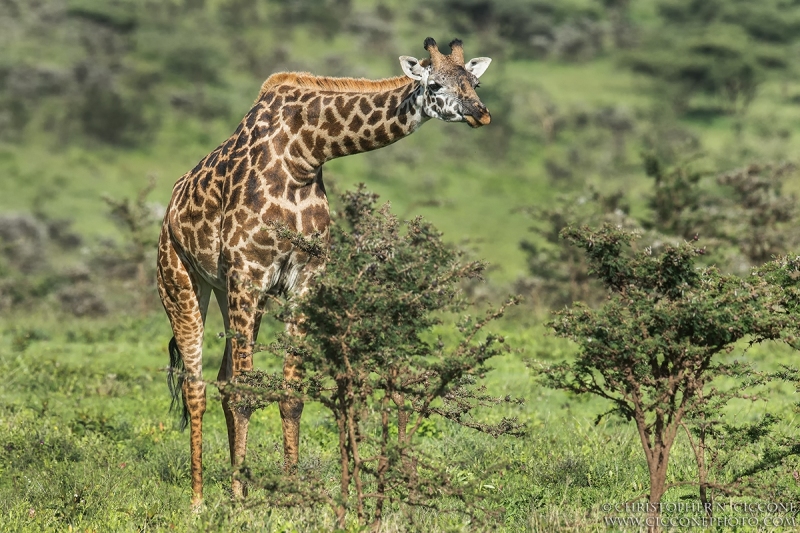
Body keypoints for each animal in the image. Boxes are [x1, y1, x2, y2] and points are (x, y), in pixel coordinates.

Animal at [156, 36, 490, 502]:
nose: (481, 112)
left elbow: (291, 392)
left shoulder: (303, 280)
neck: (306, 152)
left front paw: (292, 492)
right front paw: (239, 499)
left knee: (222, 378)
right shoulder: (248, 273)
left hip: (228, 291)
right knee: (196, 384)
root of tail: (170, 206)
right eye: (436, 84)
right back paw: (200, 500)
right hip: (181, 281)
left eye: (474, 82)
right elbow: (246, 391)